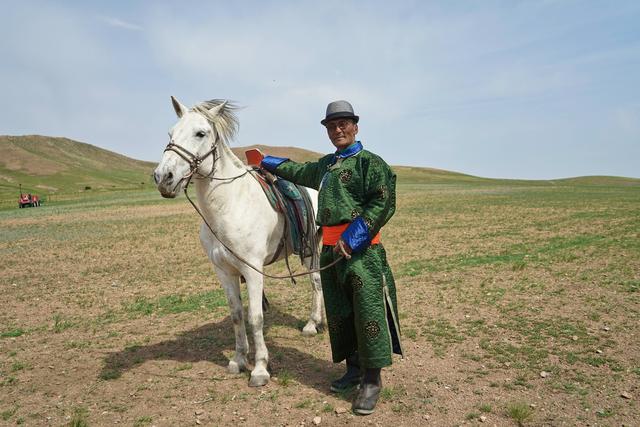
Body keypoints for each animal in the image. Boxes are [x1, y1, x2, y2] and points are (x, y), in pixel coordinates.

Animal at [154, 97, 324, 388]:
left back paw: (312, 324)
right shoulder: (224, 271)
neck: (230, 205)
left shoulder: (253, 271)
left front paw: (260, 369)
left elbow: (255, 318)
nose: (164, 177)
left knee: (315, 281)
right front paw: (239, 360)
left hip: (310, 251)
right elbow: (237, 316)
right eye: (170, 133)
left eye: (200, 133)